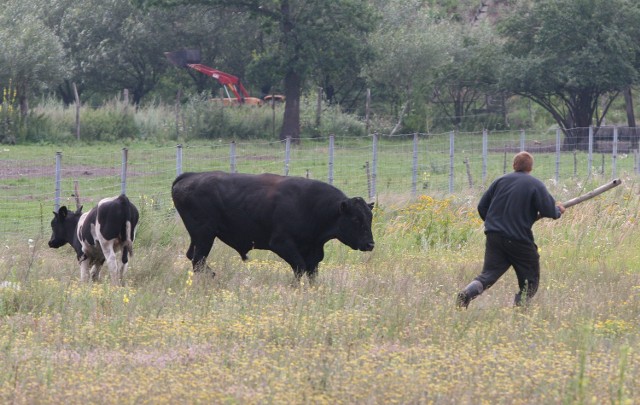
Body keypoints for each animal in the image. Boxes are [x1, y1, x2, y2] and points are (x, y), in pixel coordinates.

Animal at [172, 170, 378, 280]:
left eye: (370, 218)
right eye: (356, 219)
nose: (370, 244)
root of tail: (190, 177)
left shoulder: (313, 252)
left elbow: (310, 271)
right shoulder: (282, 244)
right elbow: (300, 268)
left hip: (200, 237)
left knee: (193, 257)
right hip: (205, 235)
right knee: (198, 259)